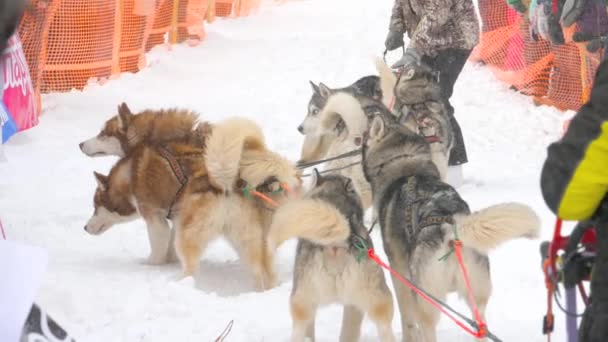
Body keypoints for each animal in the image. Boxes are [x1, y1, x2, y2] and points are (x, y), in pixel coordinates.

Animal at [84, 117, 302, 288]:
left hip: (190, 236)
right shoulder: (177, 217)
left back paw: (180, 282)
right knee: (262, 270)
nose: (85, 227)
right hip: (247, 239)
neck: (130, 175)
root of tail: (224, 182)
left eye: (95, 206)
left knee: (190, 267)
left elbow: (157, 251)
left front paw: (149, 265)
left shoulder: (155, 218)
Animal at [358, 110, 540, 342]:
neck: (404, 162)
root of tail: (449, 228)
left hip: (426, 298)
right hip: (476, 300)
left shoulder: (399, 272)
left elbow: (407, 320)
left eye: (364, 137)